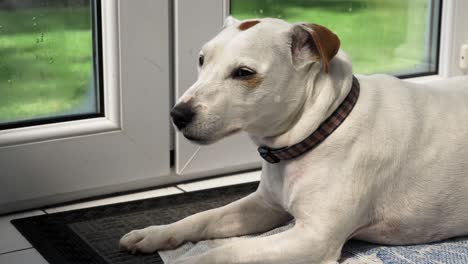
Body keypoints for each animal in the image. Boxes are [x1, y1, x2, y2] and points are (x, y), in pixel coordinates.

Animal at [119, 17, 468, 262]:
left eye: (243, 72)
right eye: (202, 59)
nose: (177, 114)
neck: (324, 126)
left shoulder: (312, 239)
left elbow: (226, 252)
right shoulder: (263, 207)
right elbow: (201, 218)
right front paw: (154, 234)